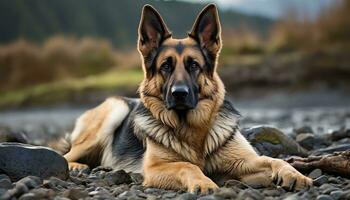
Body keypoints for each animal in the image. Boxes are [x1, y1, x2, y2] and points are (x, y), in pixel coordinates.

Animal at [63, 3, 312, 194]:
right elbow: (187, 165)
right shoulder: (156, 168)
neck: (192, 128)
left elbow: (275, 159)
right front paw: (203, 182)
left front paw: (294, 174)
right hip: (115, 110)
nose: (179, 93)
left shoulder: (244, 161)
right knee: (66, 154)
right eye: (165, 66)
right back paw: (76, 166)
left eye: (194, 65)